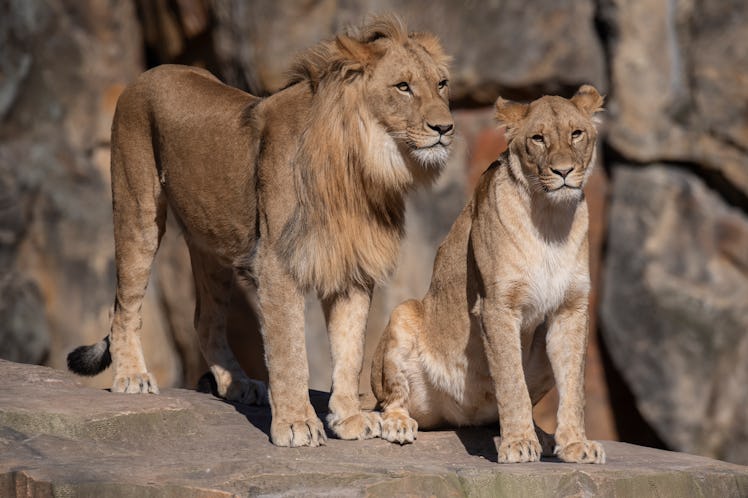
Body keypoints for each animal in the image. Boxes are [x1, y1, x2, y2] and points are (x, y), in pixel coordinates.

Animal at [68, 17, 456, 448]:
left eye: (441, 84)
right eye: (402, 86)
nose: (446, 127)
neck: (363, 165)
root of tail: (150, 72)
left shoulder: (350, 268)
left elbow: (350, 350)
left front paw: (350, 419)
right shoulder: (277, 263)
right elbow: (290, 352)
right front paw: (297, 424)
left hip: (212, 246)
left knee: (205, 320)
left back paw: (238, 384)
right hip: (137, 210)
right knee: (125, 306)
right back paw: (132, 376)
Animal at [372, 85, 604, 462]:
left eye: (576, 133)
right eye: (538, 138)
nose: (563, 171)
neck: (550, 219)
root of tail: (462, 417)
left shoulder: (571, 309)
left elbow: (573, 385)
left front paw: (574, 444)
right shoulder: (497, 305)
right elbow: (510, 380)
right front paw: (519, 444)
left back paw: (543, 435)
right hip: (403, 313)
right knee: (390, 399)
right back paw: (397, 424)